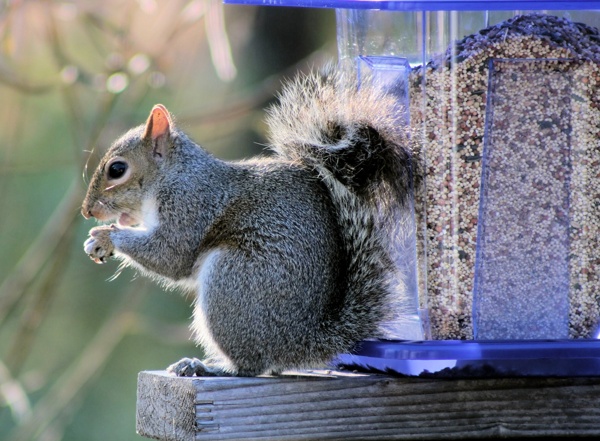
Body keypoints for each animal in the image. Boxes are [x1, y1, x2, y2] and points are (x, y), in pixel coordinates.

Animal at [82, 69, 420, 374]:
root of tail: (299, 341)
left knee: (252, 365)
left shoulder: (191, 205)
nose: (87, 211)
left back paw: (211, 367)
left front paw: (105, 236)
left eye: (117, 169)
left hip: (233, 280)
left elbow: (170, 255)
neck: (174, 175)